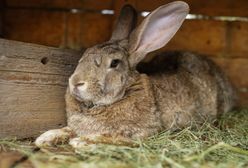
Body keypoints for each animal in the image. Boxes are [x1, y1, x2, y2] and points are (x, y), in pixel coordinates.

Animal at [35, 1, 236, 148]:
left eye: (114, 63)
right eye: (83, 55)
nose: (76, 82)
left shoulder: (139, 133)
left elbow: (112, 138)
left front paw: (82, 142)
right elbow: (68, 129)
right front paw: (45, 138)